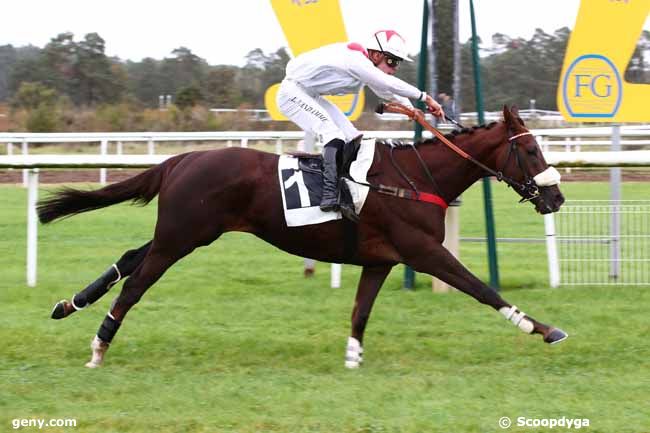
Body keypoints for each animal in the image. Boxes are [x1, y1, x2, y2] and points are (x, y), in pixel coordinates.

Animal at [39, 104, 568, 368]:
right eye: (532, 152)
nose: (557, 197)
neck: (417, 178)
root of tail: (181, 159)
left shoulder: (381, 259)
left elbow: (360, 311)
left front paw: (353, 358)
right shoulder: (423, 251)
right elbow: (480, 288)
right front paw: (543, 328)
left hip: (183, 233)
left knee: (130, 257)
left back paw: (69, 304)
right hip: (181, 237)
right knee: (135, 283)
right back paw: (100, 344)